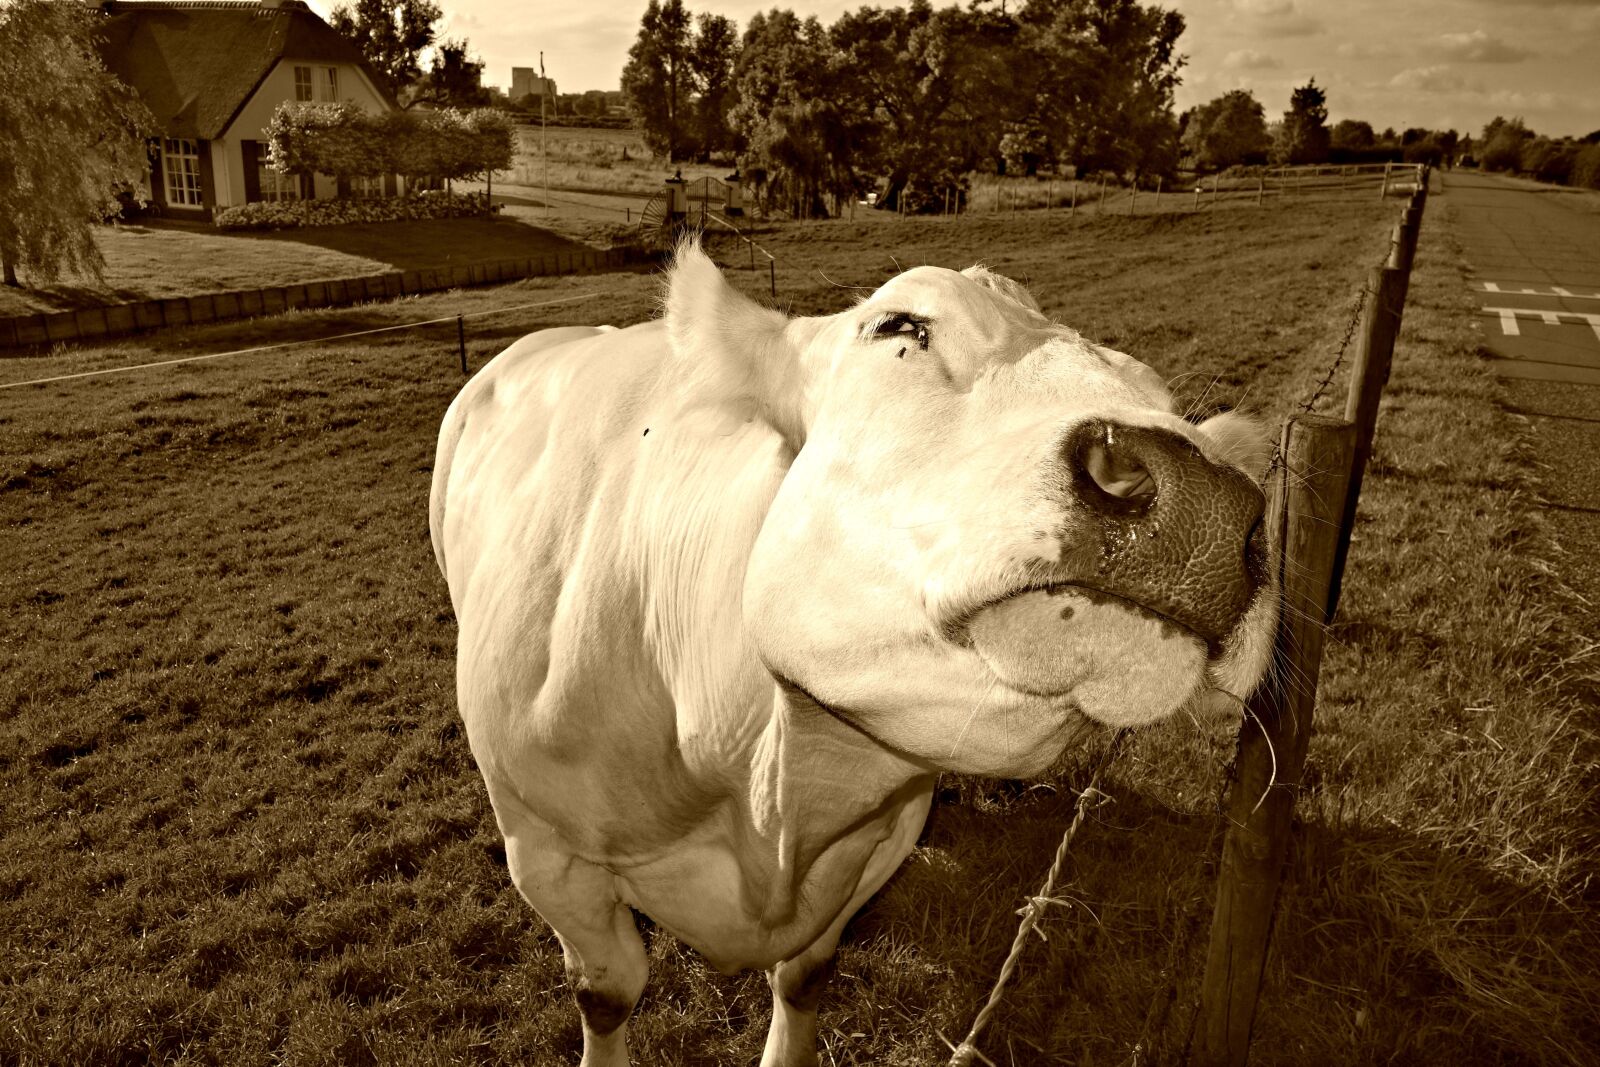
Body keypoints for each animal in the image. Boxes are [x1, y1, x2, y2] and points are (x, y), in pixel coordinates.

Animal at [428, 242, 1277, 1066]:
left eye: (1161, 396)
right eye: (900, 326)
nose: (1205, 502)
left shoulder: (876, 840)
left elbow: (806, 973)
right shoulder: (544, 852)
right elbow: (606, 993)